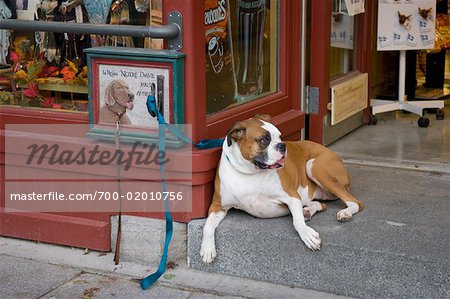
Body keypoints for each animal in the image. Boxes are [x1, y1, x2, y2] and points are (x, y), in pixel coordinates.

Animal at [202, 116, 364, 264]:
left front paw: (307, 234)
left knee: (356, 203)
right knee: (320, 204)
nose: (282, 145)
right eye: (264, 140)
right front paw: (207, 249)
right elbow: (207, 226)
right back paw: (307, 211)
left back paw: (345, 213)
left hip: (314, 166)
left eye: (279, 137)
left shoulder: (292, 197)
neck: (250, 172)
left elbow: (297, 221)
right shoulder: (217, 206)